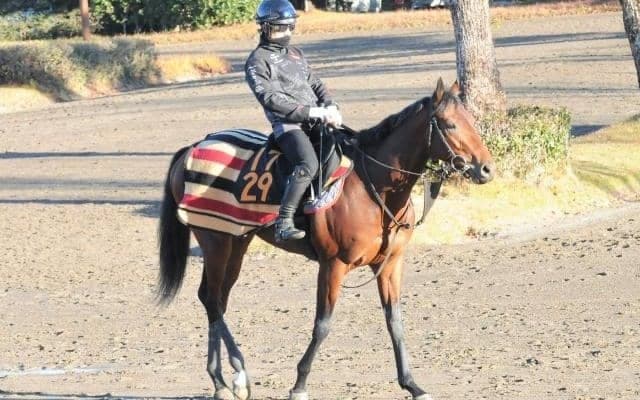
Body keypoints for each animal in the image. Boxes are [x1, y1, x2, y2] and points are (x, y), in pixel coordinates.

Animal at [157, 78, 495, 400]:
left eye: (470, 119)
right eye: (449, 124)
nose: (486, 168)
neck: (372, 186)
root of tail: (193, 148)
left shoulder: (389, 265)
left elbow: (395, 322)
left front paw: (412, 384)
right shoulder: (333, 265)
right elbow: (322, 325)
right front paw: (299, 385)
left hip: (237, 240)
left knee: (216, 300)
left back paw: (224, 382)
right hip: (215, 240)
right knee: (212, 299)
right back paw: (234, 377)